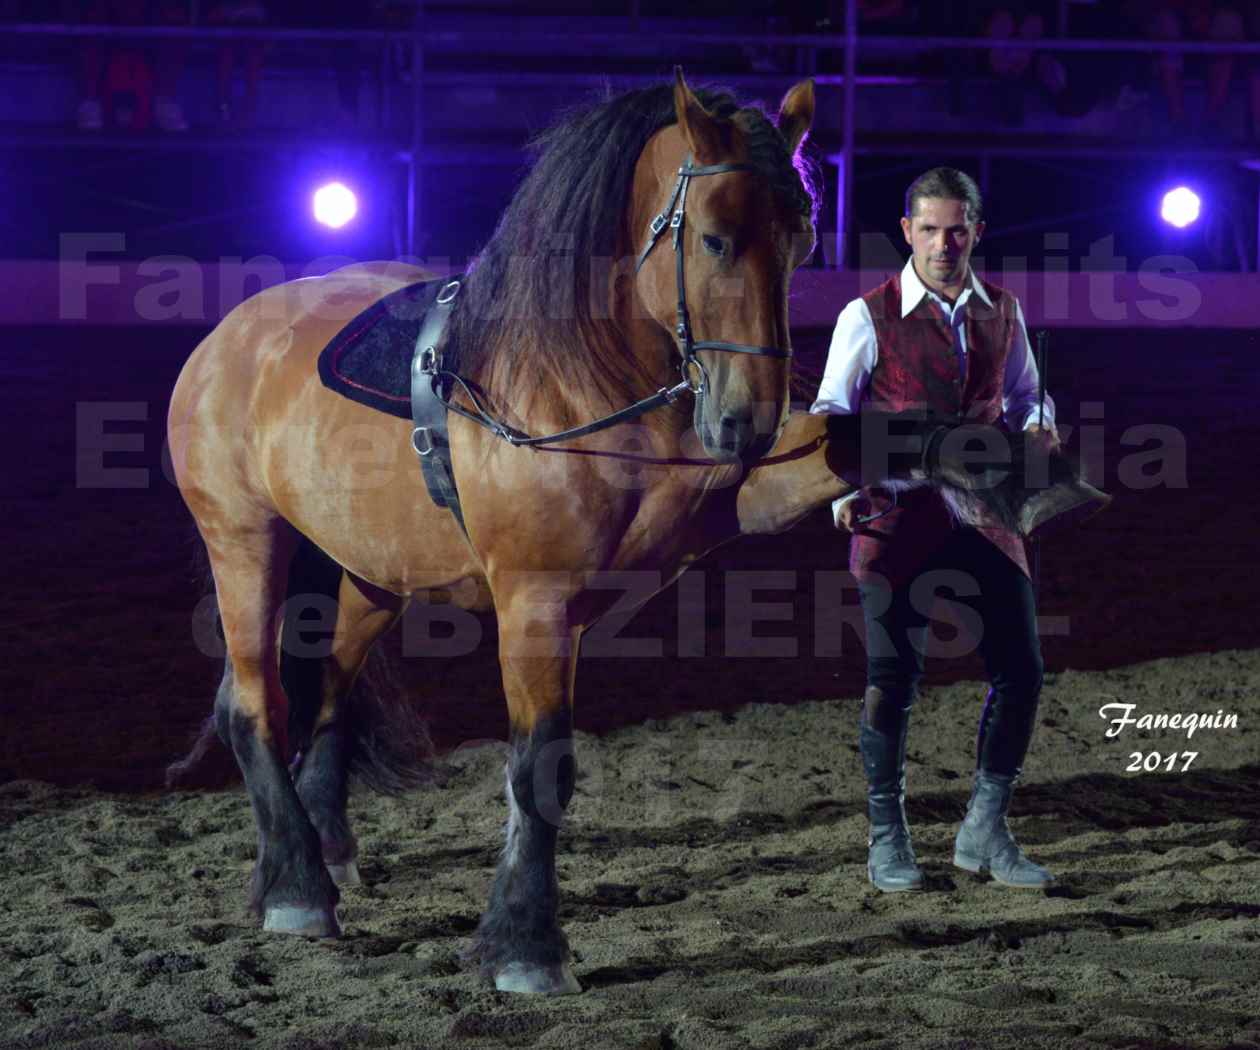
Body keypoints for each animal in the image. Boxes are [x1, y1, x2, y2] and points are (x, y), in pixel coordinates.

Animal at [170, 71, 1103, 993]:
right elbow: (539, 764)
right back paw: (297, 890)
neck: (568, 384)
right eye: (717, 239)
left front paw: (1016, 470)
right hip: (243, 542)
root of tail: (230, 336)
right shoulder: (536, 604)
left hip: (373, 570)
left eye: (801, 239)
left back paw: (324, 851)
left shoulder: (741, 492)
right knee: (255, 703)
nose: (745, 422)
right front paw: (526, 947)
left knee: (328, 691)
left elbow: (864, 434)